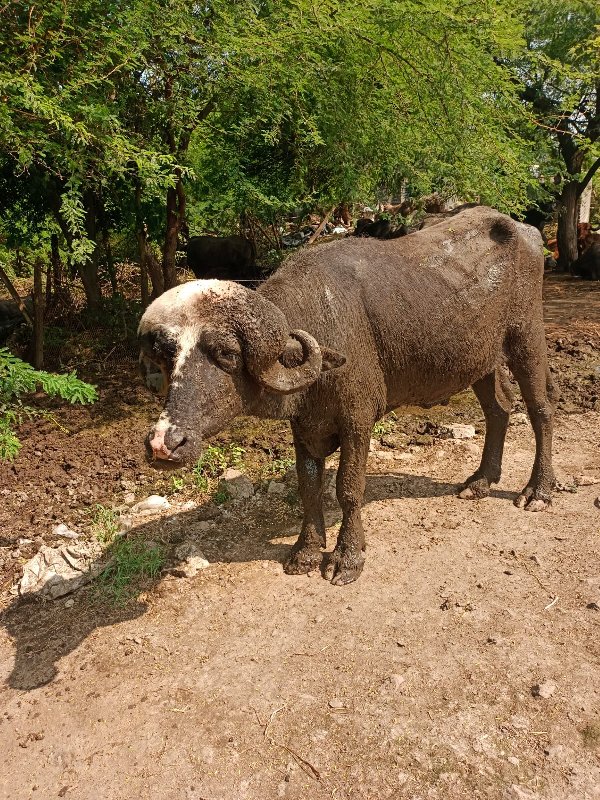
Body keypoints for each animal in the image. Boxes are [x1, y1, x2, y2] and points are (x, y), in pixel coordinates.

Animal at [141, 206, 556, 588]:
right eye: (168, 355)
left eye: (226, 353)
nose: (163, 444)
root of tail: (526, 231)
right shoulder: (305, 426)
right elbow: (308, 486)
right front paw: (306, 551)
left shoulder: (357, 420)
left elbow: (348, 488)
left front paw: (347, 557)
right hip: (482, 359)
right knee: (499, 410)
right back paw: (482, 480)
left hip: (527, 336)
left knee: (541, 410)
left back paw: (538, 490)